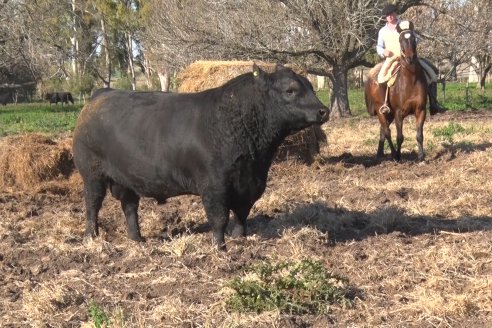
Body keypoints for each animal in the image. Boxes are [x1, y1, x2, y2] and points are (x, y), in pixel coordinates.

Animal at [72, 64, 326, 249]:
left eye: (311, 87)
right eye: (290, 90)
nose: (323, 110)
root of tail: (101, 94)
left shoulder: (251, 185)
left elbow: (241, 214)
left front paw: (240, 239)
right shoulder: (214, 186)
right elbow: (219, 218)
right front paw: (220, 247)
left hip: (127, 180)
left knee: (130, 207)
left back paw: (137, 239)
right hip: (92, 175)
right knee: (92, 206)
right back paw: (91, 236)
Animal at [364, 21, 428, 161]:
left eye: (414, 38)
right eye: (400, 40)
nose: (410, 58)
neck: (411, 80)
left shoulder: (420, 110)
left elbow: (419, 135)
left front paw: (421, 157)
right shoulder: (399, 113)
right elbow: (399, 137)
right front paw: (398, 156)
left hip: (390, 114)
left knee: (383, 130)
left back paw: (380, 154)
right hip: (381, 111)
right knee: (387, 132)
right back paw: (393, 154)